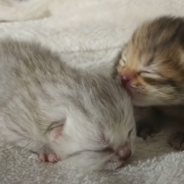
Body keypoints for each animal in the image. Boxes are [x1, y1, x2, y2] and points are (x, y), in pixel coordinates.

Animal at [116, 16, 184, 150]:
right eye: (124, 61)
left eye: (146, 71)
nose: (123, 77)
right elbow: (147, 108)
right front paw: (146, 124)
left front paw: (181, 138)